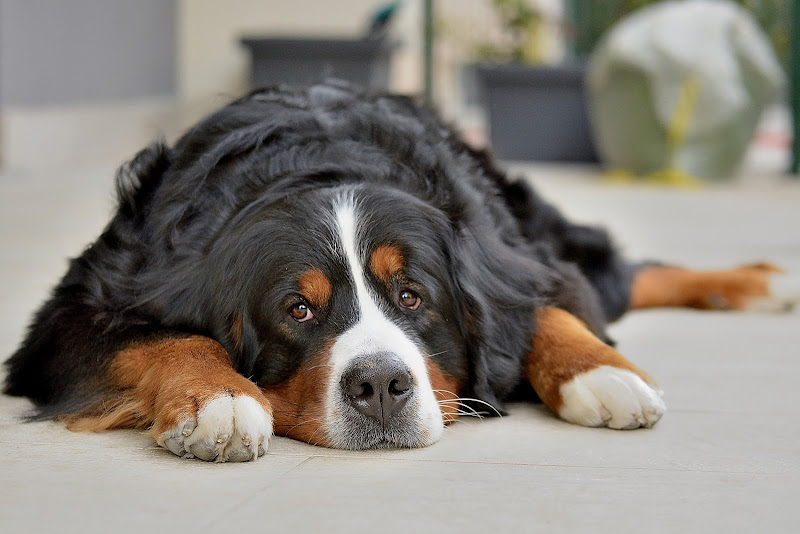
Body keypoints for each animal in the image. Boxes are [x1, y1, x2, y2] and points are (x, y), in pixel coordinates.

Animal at [3, 81, 784, 462]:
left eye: (413, 297)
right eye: (298, 310)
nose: (379, 386)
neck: (320, 161)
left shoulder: (509, 257)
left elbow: (546, 306)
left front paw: (601, 371)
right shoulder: (75, 312)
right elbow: (164, 339)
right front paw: (215, 400)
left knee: (617, 267)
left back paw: (757, 282)